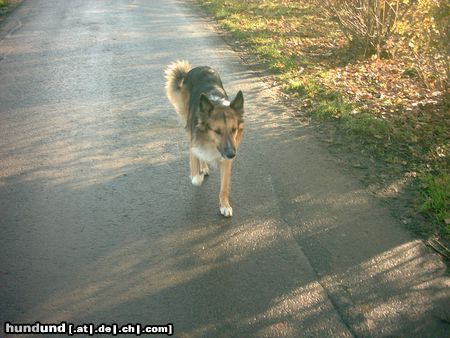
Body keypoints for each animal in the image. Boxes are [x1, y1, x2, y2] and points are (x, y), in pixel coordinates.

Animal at [164, 60, 244, 217]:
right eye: (217, 131)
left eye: (234, 130)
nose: (232, 154)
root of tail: (198, 68)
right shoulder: (194, 142)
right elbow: (195, 166)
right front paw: (197, 176)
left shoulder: (226, 159)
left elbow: (224, 186)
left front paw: (224, 205)